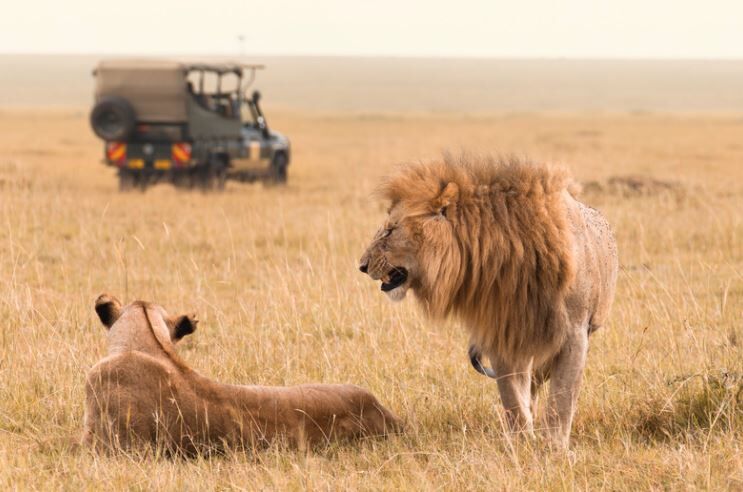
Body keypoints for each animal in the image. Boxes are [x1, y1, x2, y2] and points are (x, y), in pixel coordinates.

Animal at [358, 156, 616, 448]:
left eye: (390, 231)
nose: (362, 266)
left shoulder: (574, 334)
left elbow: (562, 396)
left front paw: (554, 446)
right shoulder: (502, 333)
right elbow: (512, 395)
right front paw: (521, 441)